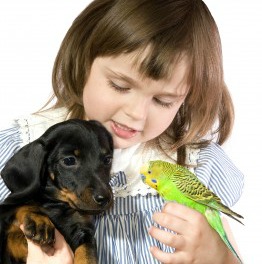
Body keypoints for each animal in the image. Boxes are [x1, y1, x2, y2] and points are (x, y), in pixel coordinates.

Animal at [0, 119, 114, 264]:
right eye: (69, 160)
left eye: (107, 159)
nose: (105, 199)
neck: (57, 204)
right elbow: (22, 205)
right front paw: (38, 220)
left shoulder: (84, 232)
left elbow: (86, 255)